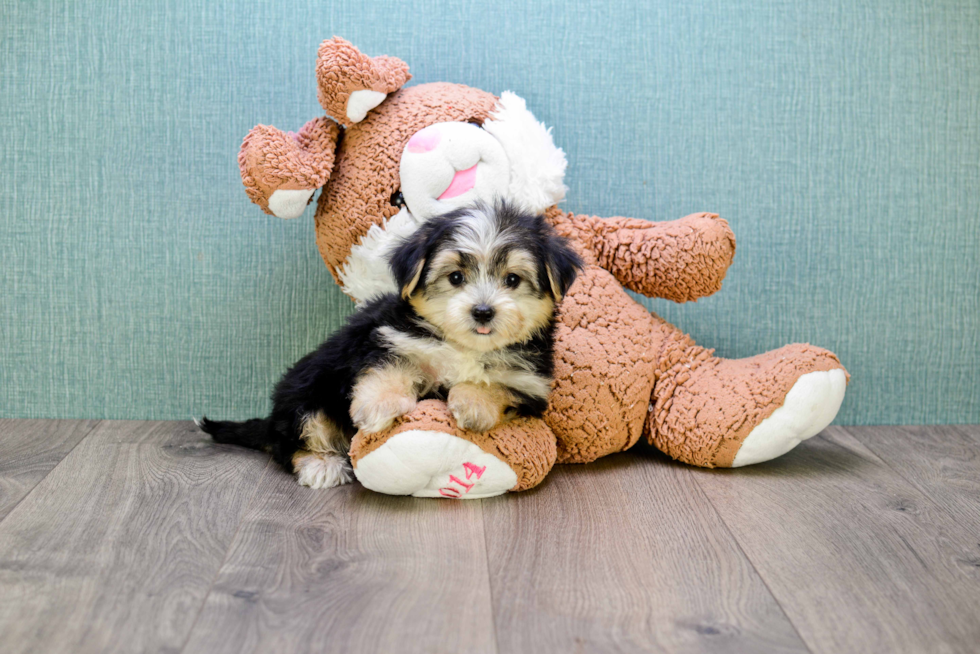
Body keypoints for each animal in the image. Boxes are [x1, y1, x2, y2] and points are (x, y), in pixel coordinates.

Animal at [199, 202, 580, 490]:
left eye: (513, 279)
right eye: (455, 277)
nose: (483, 311)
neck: (464, 345)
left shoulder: (529, 384)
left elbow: (497, 385)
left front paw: (473, 403)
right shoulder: (389, 338)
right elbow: (388, 367)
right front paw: (378, 406)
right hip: (307, 393)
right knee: (294, 438)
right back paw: (321, 464)